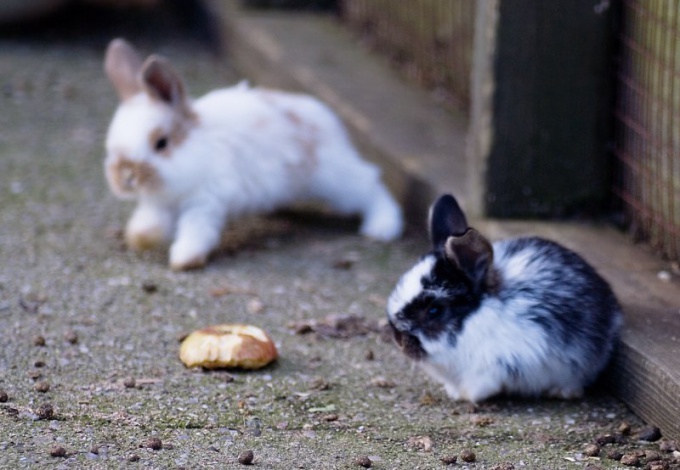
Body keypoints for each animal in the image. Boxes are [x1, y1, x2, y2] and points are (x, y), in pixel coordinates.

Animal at [103, 38, 402, 270]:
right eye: (110, 146)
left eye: (161, 143)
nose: (127, 177)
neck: (198, 148)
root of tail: (329, 119)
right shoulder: (159, 204)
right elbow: (150, 222)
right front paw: (140, 239)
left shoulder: (205, 202)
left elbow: (196, 230)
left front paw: (184, 260)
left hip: (337, 180)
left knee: (370, 183)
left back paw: (382, 227)